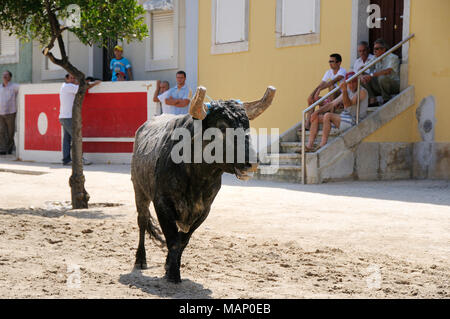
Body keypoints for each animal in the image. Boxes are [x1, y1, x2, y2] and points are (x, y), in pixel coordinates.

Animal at [131, 85, 274, 282]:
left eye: (247, 125)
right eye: (221, 127)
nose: (251, 163)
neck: (196, 177)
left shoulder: (204, 210)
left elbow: (183, 241)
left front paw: (170, 267)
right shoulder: (162, 204)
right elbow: (173, 240)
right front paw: (173, 275)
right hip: (139, 190)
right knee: (142, 221)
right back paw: (140, 260)